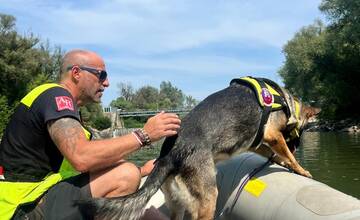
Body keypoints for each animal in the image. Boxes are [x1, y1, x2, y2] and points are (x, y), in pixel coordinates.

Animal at [80, 77, 320, 220]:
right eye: (304, 130)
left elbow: (274, 154)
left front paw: (283, 163)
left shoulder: (258, 141)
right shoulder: (272, 135)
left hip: (177, 204)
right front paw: (301, 169)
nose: (298, 146)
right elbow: (287, 154)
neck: (287, 102)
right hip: (208, 198)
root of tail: (170, 155)